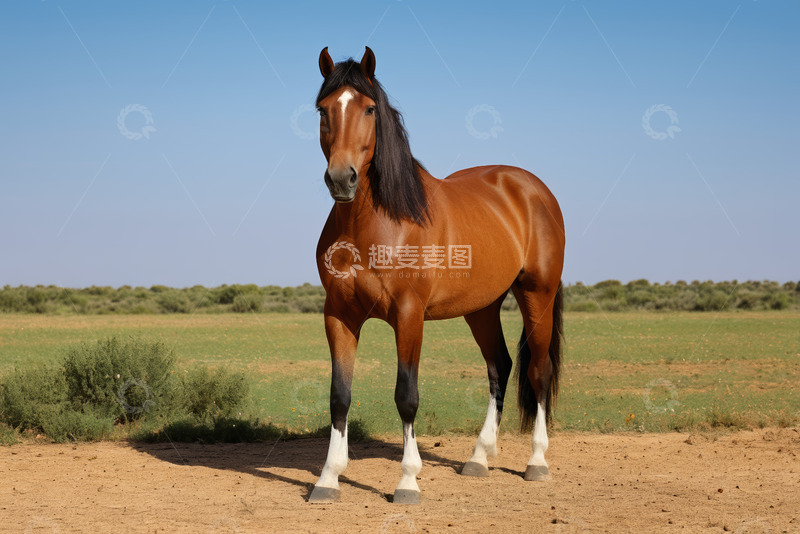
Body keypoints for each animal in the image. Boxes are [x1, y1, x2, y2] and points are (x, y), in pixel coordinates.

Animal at [309, 47, 565, 505]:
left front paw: (408, 481)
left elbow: (406, 396)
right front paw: (328, 479)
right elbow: (339, 396)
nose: (341, 179)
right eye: (324, 110)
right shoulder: (338, 315)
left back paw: (537, 462)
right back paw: (478, 458)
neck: (375, 224)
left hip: (539, 294)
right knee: (500, 367)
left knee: (539, 371)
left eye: (369, 108)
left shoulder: (409, 315)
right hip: (482, 307)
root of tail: (533, 188)